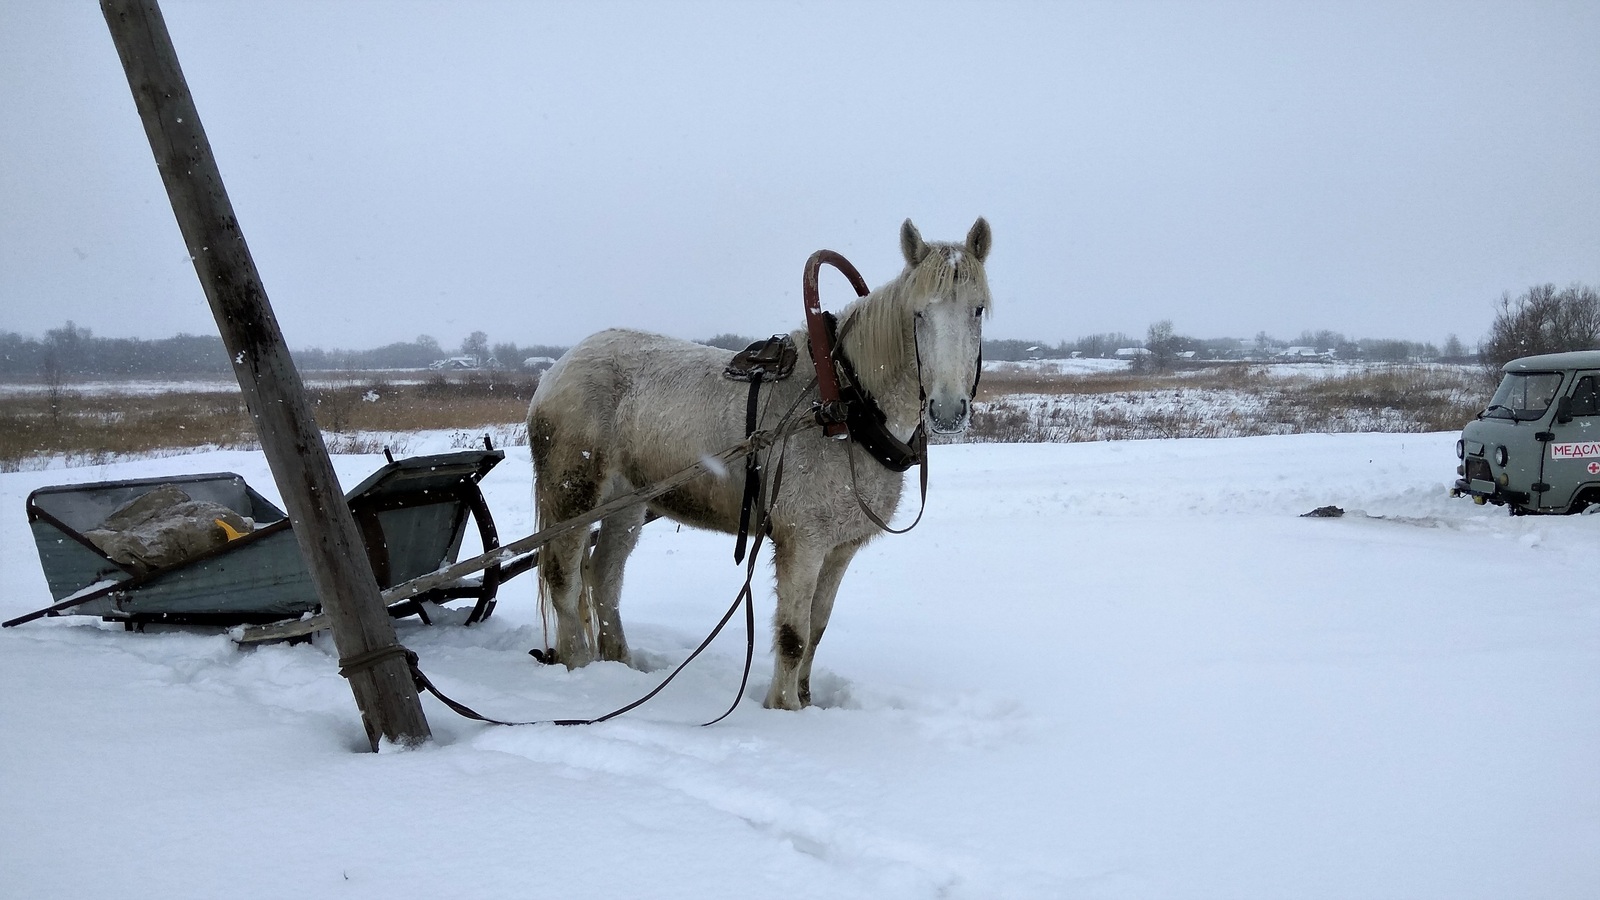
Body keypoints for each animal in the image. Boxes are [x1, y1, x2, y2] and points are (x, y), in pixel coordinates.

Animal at [531, 217, 992, 707]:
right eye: (918, 314)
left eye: (977, 310)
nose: (948, 410)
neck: (844, 404)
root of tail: (556, 370)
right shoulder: (802, 542)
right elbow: (793, 635)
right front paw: (782, 709)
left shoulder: (840, 548)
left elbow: (817, 628)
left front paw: (805, 702)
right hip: (574, 495)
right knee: (564, 578)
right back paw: (580, 668)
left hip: (627, 501)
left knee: (604, 577)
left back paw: (620, 666)